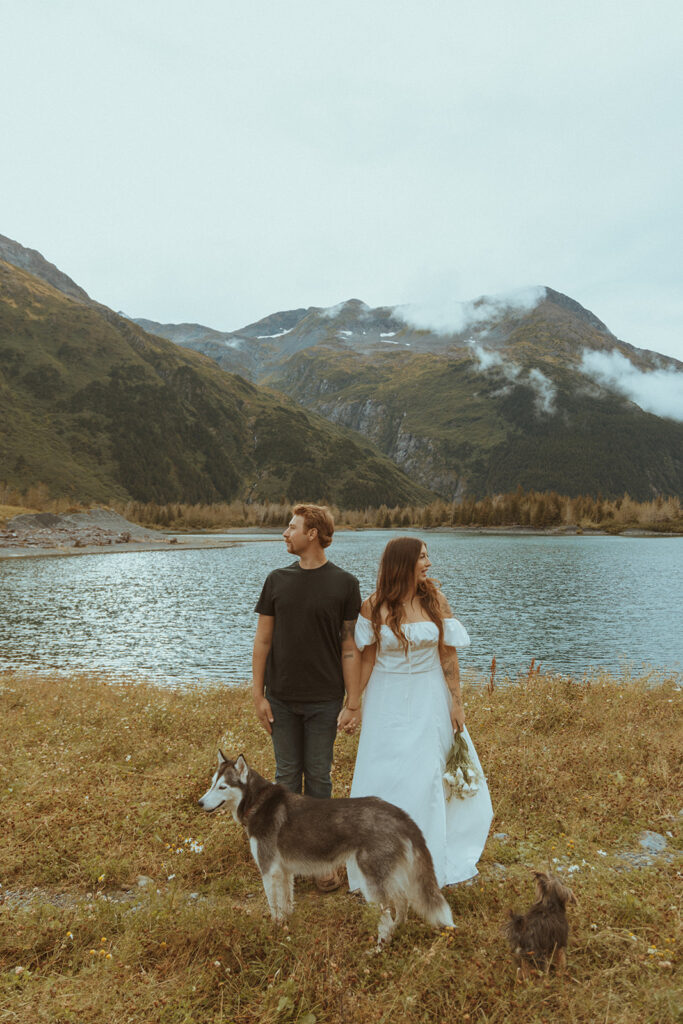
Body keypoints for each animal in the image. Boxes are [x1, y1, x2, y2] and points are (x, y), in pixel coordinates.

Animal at [197, 753, 454, 942]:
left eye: (222, 787)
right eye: (211, 784)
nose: (199, 803)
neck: (258, 803)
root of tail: (398, 812)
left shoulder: (268, 871)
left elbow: (274, 907)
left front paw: (275, 929)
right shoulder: (284, 872)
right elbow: (286, 903)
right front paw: (288, 926)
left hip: (370, 882)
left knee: (386, 919)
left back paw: (379, 948)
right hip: (387, 874)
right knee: (401, 902)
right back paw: (400, 928)